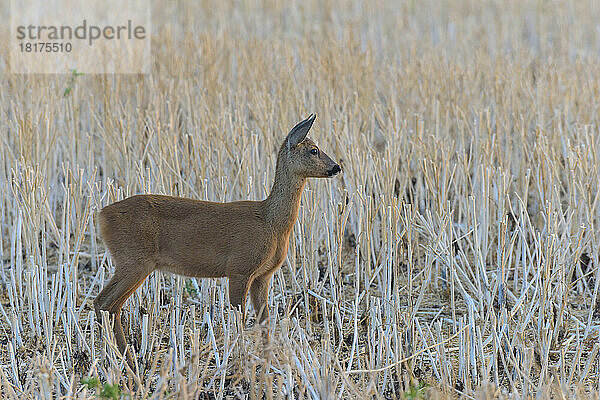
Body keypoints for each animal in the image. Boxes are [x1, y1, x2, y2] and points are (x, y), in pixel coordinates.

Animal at [92, 113, 340, 368]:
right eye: (313, 150)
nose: (336, 167)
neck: (271, 222)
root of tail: (101, 215)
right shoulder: (239, 268)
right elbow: (239, 318)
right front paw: (241, 360)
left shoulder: (263, 275)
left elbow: (264, 321)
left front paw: (267, 360)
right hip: (134, 260)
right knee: (103, 303)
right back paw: (124, 360)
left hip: (134, 263)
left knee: (111, 306)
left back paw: (126, 360)